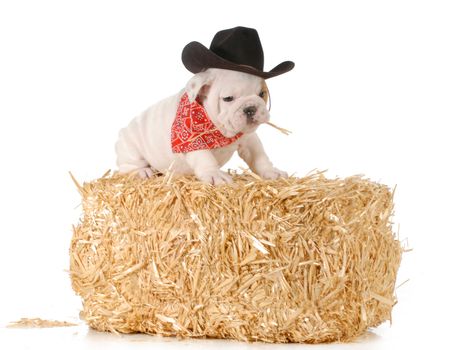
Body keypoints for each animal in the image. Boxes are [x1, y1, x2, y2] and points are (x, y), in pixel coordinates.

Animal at [115, 66, 286, 185]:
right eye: (228, 98)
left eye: (261, 94)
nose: (250, 108)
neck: (220, 130)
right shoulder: (191, 141)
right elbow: (204, 157)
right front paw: (215, 174)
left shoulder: (249, 139)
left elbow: (259, 156)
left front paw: (271, 171)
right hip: (130, 149)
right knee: (128, 166)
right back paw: (142, 172)